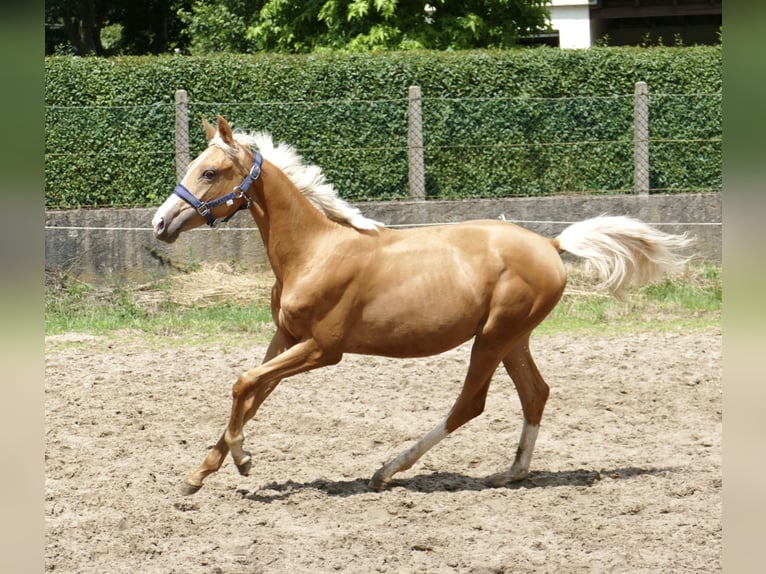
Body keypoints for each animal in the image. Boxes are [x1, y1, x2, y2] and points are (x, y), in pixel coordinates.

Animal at [153, 116, 692, 496]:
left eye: (210, 171)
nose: (160, 223)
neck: (315, 251)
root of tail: (551, 244)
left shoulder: (323, 349)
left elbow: (243, 383)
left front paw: (242, 462)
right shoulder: (286, 338)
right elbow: (252, 392)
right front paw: (199, 474)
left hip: (492, 336)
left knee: (470, 404)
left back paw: (388, 471)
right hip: (513, 337)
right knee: (535, 394)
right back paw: (511, 472)